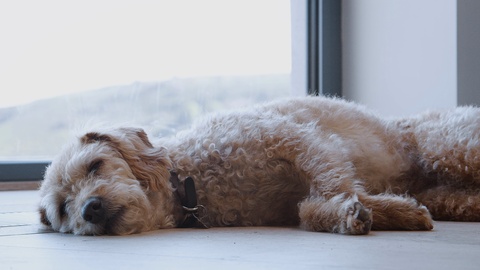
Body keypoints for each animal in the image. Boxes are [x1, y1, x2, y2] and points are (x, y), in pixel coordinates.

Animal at [38, 96, 480, 235]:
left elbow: (335, 185)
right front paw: (373, 213)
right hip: (447, 192)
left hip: (451, 146)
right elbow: (309, 209)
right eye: (63, 208)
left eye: (95, 166)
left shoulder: (297, 139)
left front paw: (367, 210)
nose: (90, 208)